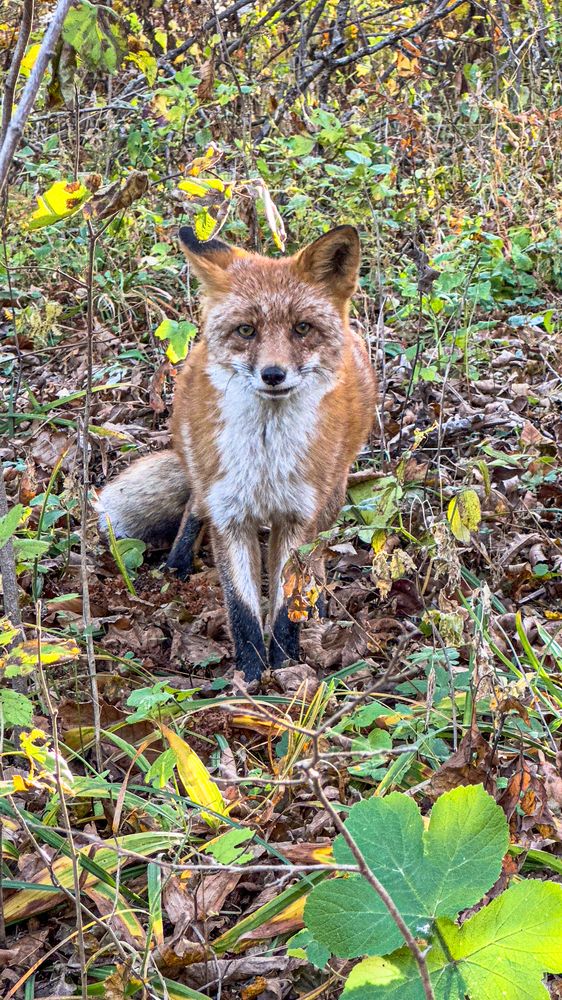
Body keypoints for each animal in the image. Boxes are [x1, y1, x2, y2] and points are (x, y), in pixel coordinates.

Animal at [98, 224, 377, 682]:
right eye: (247, 331)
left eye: (302, 328)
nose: (273, 374)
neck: (264, 460)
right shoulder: (230, 515)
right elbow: (242, 610)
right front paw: (249, 677)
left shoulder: (296, 518)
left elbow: (283, 606)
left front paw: (284, 666)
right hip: (203, 470)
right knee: (193, 505)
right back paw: (177, 563)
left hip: (332, 494)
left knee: (319, 549)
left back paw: (316, 599)